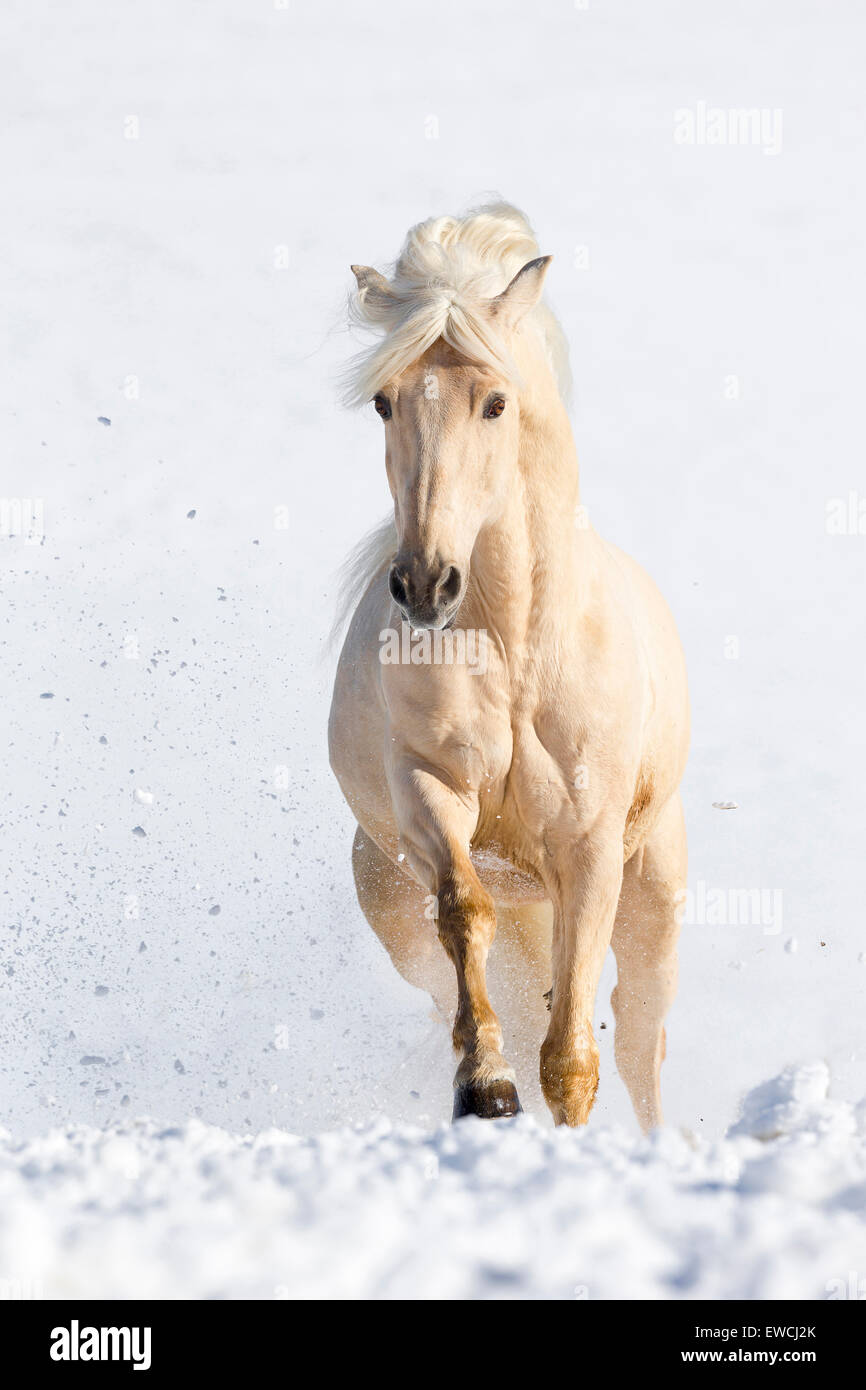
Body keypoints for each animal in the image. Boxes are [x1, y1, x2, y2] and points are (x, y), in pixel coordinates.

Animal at [329, 203, 689, 1129]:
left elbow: (574, 1057)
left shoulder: (590, 849)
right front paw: (485, 1090)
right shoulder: (432, 792)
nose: (425, 584)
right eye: (382, 401)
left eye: (495, 402)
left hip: (651, 899)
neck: (522, 655)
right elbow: (467, 912)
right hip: (399, 907)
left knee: (640, 1040)